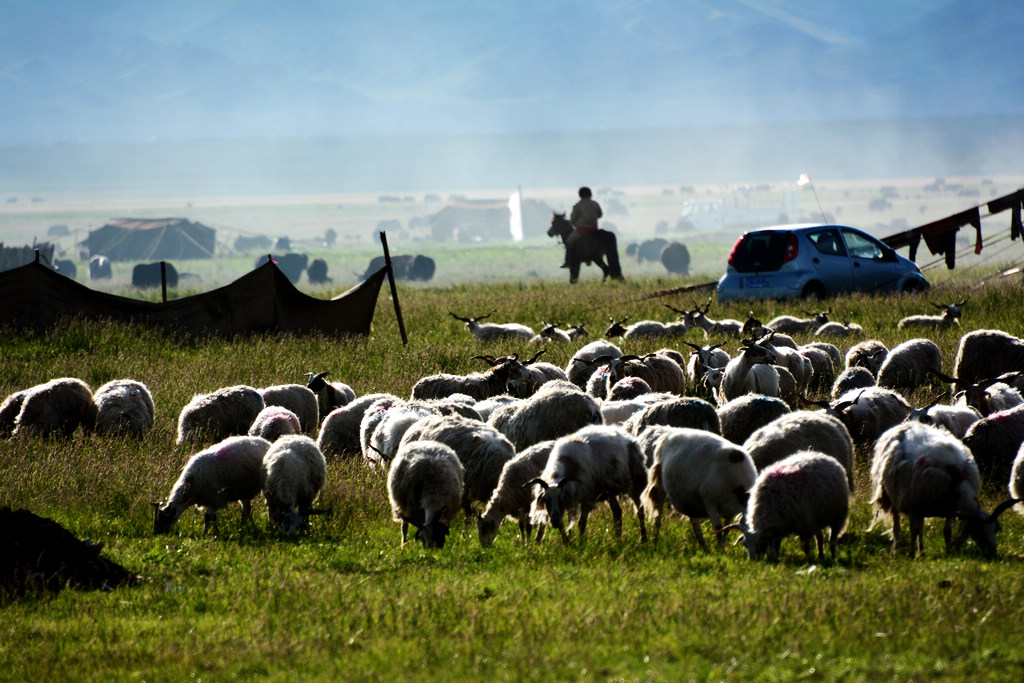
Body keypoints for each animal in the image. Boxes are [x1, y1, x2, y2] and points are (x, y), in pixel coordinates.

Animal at [864, 421, 1015, 561]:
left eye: (996, 528)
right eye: (979, 529)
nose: (992, 553)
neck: (956, 479)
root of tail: (905, 425)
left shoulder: (948, 508)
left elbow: (946, 532)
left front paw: (948, 553)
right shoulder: (913, 504)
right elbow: (913, 531)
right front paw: (911, 553)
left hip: (922, 503)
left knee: (920, 528)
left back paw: (922, 551)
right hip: (895, 496)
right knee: (897, 526)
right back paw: (897, 549)